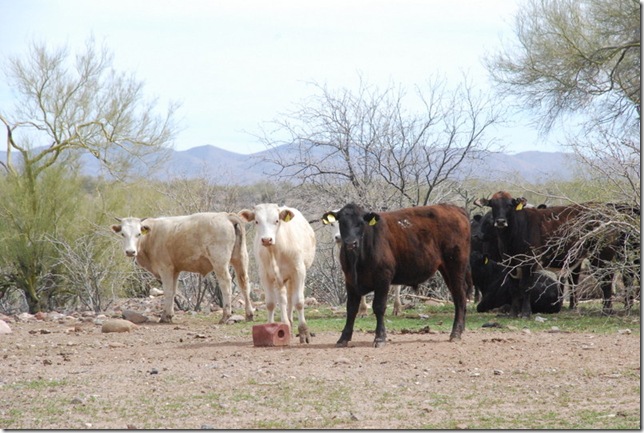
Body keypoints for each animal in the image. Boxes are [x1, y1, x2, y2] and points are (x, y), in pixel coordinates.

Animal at [110, 211, 254, 322]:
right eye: (123, 234)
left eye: (138, 234)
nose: (130, 252)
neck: (151, 236)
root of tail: (226, 215)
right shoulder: (175, 270)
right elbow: (173, 291)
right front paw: (169, 314)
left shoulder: (165, 268)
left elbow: (168, 291)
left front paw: (166, 317)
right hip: (241, 258)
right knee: (244, 282)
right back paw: (249, 315)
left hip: (220, 262)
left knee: (226, 283)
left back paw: (225, 316)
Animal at [238, 204, 316, 342]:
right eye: (257, 221)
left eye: (276, 220)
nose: (266, 240)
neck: (275, 250)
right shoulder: (265, 275)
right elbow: (270, 303)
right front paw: (270, 327)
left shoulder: (299, 272)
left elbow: (299, 302)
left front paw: (304, 332)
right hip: (280, 280)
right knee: (284, 299)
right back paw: (287, 324)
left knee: (290, 300)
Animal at [320, 202, 468, 348]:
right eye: (341, 222)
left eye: (361, 222)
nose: (351, 243)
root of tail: (454, 208)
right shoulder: (350, 281)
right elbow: (351, 309)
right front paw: (343, 338)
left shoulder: (383, 278)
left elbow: (379, 307)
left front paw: (380, 338)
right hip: (446, 269)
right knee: (457, 298)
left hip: (456, 266)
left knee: (460, 298)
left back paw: (455, 333)